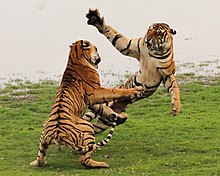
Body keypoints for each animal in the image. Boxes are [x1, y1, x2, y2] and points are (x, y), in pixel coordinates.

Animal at [29, 40, 143, 169]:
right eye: (96, 49)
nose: (100, 57)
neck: (74, 57)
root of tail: (59, 134)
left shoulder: (91, 100)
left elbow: (104, 109)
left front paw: (120, 116)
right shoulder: (95, 92)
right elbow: (115, 92)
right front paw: (136, 90)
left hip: (43, 136)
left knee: (41, 155)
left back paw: (36, 162)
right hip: (88, 128)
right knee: (84, 159)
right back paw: (102, 164)